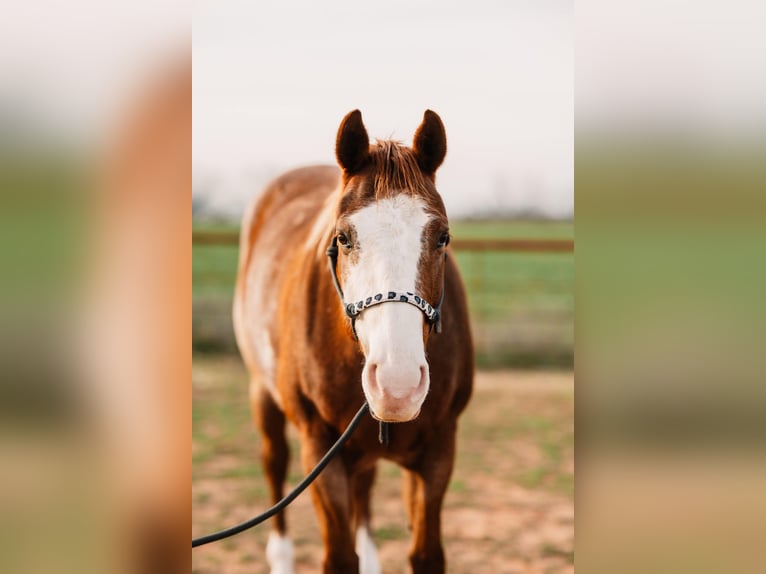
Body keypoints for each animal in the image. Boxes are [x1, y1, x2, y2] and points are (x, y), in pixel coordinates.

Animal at [234, 110, 474, 572]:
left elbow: (426, 553)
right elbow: (339, 557)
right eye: (344, 238)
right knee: (274, 463)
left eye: (442, 237)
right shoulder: (320, 451)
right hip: (262, 394)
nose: (397, 386)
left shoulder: (440, 450)